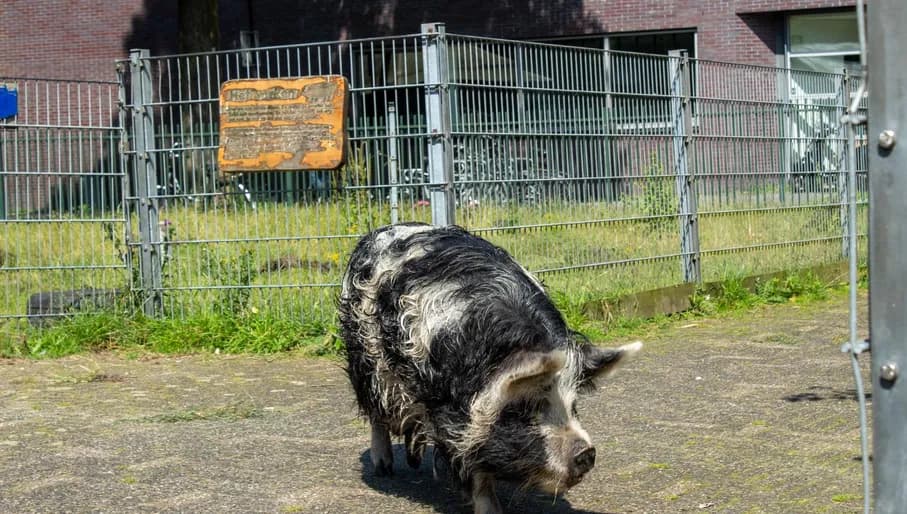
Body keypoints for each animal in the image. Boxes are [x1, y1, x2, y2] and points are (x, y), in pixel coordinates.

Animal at [339, 222, 641, 513]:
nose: (586, 453)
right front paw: (491, 509)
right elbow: (474, 463)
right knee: (376, 410)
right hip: (365, 357)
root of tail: (382, 230)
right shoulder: (455, 415)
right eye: (523, 409)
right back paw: (384, 468)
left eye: (574, 405)